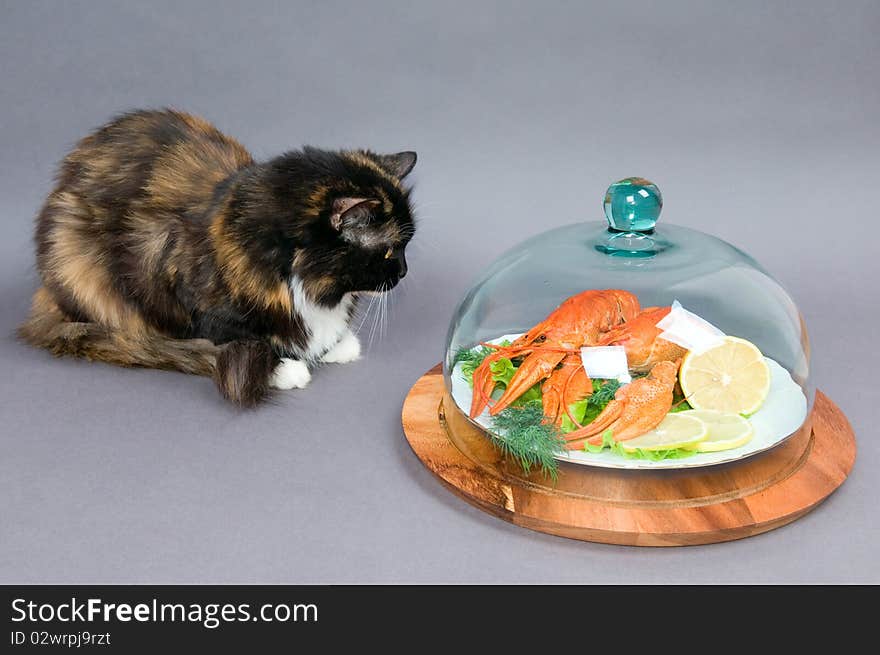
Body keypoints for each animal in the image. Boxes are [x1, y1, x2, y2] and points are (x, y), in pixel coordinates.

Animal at [18, 109, 418, 404]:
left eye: (405, 247)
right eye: (389, 250)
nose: (403, 271)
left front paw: (336, 344)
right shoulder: (188, 288)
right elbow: (234, 336)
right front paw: (287, 368)